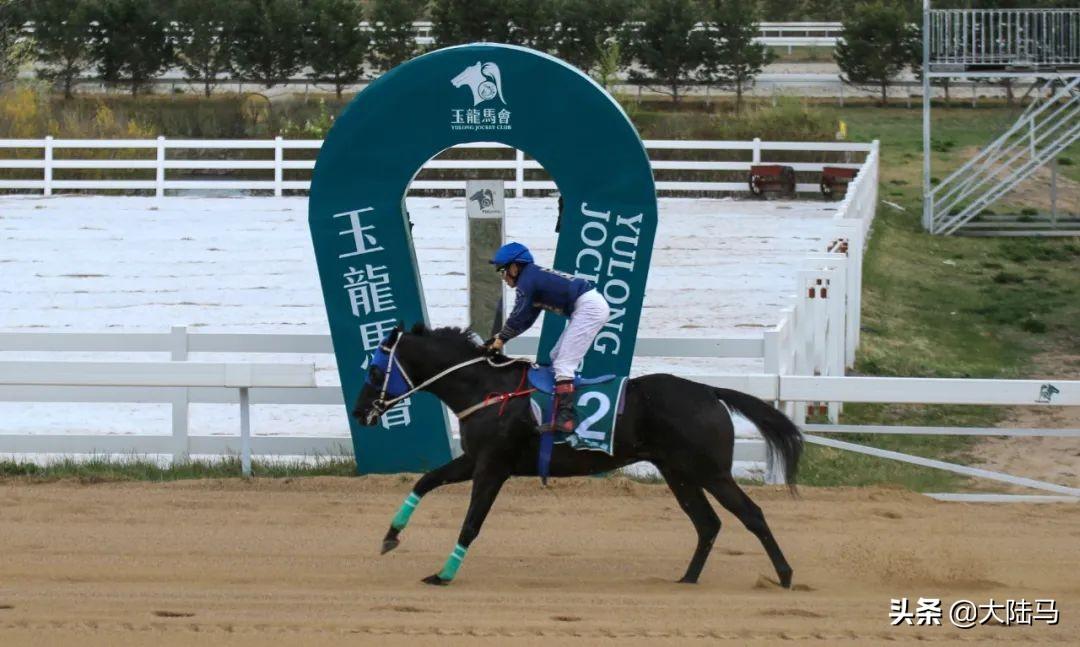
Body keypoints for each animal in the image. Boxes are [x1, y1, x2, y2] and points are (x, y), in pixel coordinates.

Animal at [354, 324, 803, 587]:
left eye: (375, 371)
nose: (359, 413)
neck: (486, 390)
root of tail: (709, 390)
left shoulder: (493, 467)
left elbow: (471, 523)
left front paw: (443, 575)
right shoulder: (473, 460)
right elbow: (425, 480)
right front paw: (391, 535)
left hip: (711, 471)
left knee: (751, 514)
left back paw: (784, 575)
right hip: (678, 472)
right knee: (707, 523)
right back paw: (687, 579)